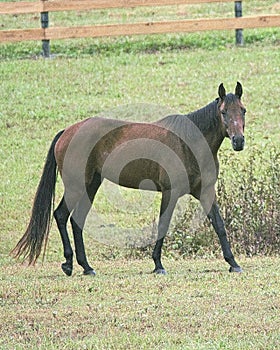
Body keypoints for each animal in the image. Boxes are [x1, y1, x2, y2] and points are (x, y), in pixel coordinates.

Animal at [12, 82, 246, 276]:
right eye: (223, 112)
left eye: (243, 110)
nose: (238, 141)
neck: (189, 143)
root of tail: (68, 132)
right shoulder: (170, 193)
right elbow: (163, 225)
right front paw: (158, 265)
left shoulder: (205, 192)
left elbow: (219, 225)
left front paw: (233, 263)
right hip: (76, 187)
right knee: (61, 215)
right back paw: (69, 264)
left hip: (90, 186)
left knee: (77, 220)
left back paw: (86, 267)